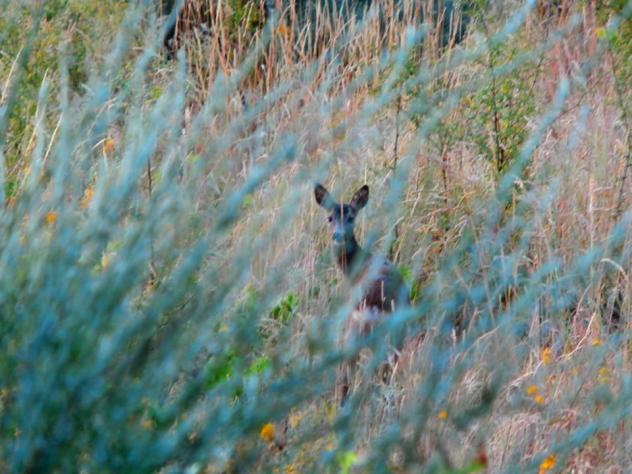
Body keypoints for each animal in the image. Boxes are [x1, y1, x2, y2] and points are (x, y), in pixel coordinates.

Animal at [314, 183, 410, 405]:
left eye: (351, 217)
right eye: (329, 218)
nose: (338, 235)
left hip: (351, 338)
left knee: (346, 380)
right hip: (397, 336)